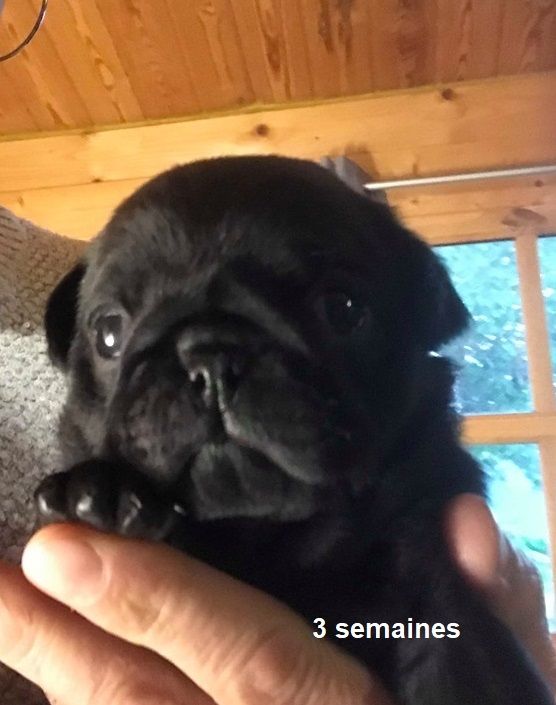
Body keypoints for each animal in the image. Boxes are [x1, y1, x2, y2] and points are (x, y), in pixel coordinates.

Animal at [38, 156, 552, 704]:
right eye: (109, 333)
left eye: (343, 308)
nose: (212, 357)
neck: (267, 533)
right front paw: (98, 493)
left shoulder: (428, 598)